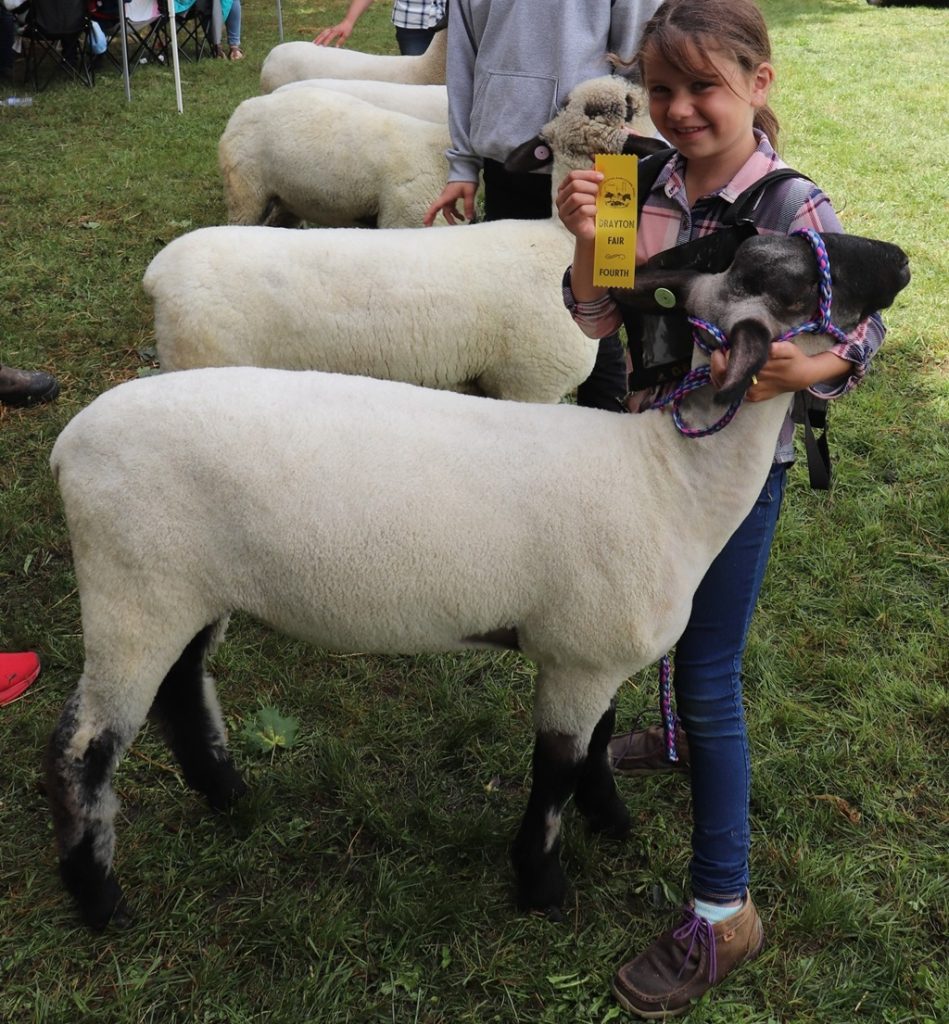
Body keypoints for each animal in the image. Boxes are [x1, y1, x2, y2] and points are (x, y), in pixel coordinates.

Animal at [46, 229, 910, 930]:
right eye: (786, 276)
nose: (900, 259)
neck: (670, 480)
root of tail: (69, 443)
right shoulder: (578, 657)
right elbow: (555, 769)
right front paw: (542, 884)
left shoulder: (588, 649)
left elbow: (599, 741)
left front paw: (610, 819)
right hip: (133, 588)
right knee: (83, 746)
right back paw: (100, 900)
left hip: (191, 589)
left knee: (183, 683)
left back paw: (226, 794)